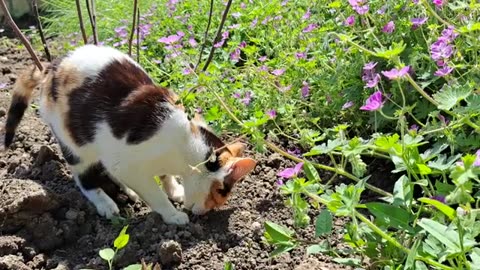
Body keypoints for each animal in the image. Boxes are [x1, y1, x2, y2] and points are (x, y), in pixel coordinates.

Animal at [2, 44, 258, 226]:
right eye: (220, 193)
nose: (204, 213)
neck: (184, 146)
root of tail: (52, 66)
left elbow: (164, 177)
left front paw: (175, 190)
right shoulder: (126, 163)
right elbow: (154, 193)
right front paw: (173, 215)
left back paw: (128, 192)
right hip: (75, 143)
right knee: (84, 178)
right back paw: (105, 202)